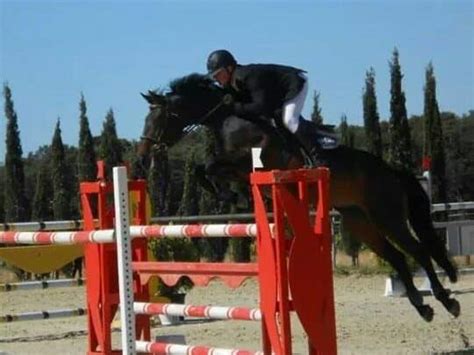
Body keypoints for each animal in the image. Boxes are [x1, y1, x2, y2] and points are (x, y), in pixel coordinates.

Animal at [136, 73, 460, 322]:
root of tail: (391, 171)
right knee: (397, 256)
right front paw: (232, 195)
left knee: (418, 252)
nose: (144, 152)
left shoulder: (254, 158)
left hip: (387, 215)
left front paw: (230, 195)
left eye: (160, 117)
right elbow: (207, 170)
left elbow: (212, 166)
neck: (228, 117)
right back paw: (423, 307)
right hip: (359, 221)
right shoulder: (238, 166)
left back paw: (447, 301)